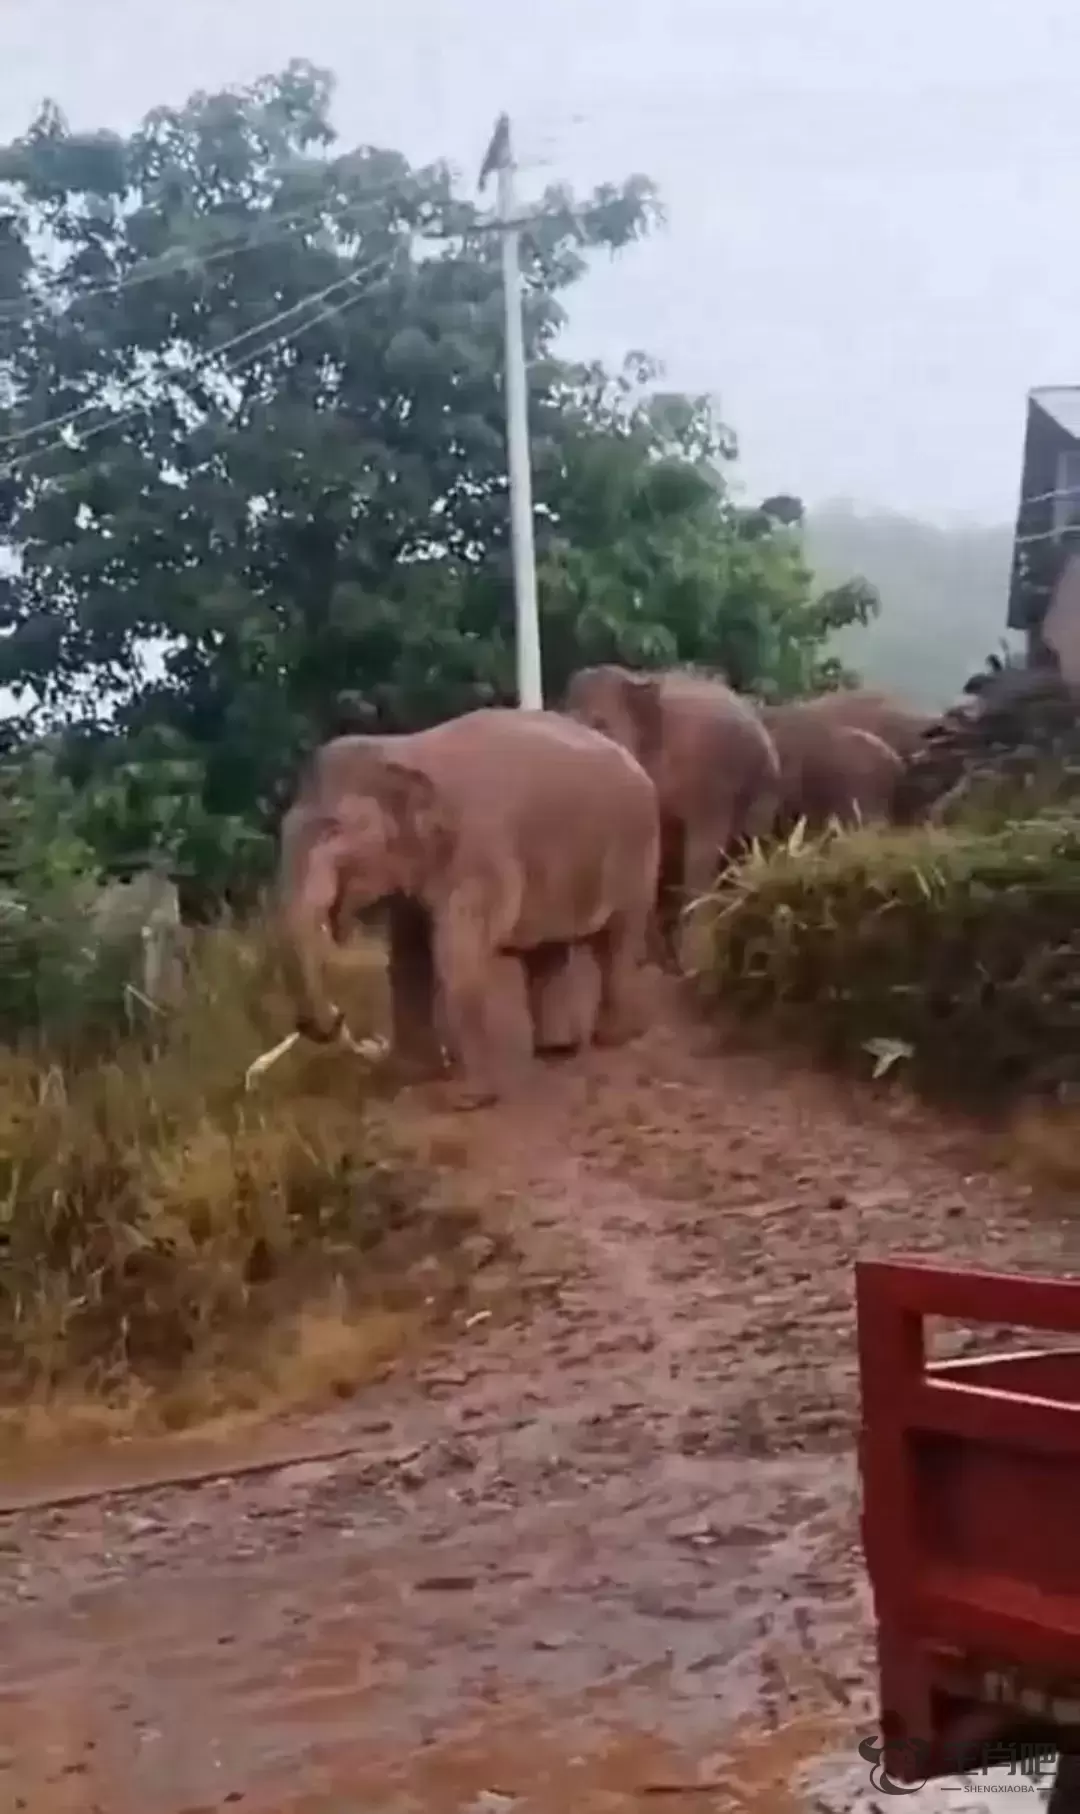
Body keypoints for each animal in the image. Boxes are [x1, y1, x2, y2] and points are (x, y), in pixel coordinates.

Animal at [274, 707, 664, 1102]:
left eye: (334, 832)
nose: (338, 1017)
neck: (400, 748)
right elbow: (408, 956)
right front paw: (407, 1075)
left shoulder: (478, 854)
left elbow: (456, 955)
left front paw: (466, 1100)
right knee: (548, 949)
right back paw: (556, 1051)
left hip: (637, 850)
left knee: (617, 939)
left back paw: (611, 1038)